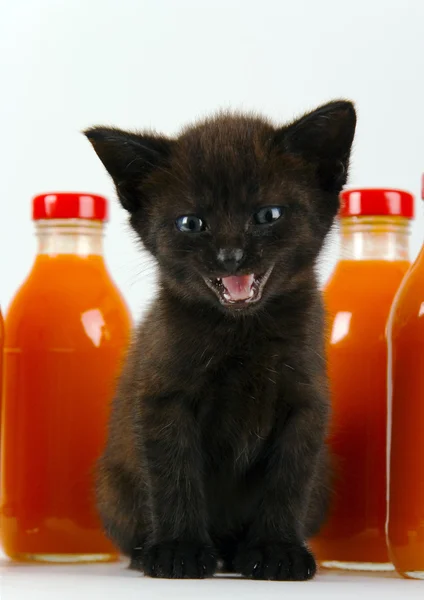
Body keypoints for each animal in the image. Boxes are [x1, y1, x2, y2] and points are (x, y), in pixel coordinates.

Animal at [84, 101, 356, 580]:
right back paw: (150, 551)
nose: (231, 256)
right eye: (191, 222)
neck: (241, 332)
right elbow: (174, 474)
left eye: (268, 215)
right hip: (112, 487)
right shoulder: (165, 398)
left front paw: (275, 551)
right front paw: (179, 550)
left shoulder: (305, 403)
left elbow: (288, 479)